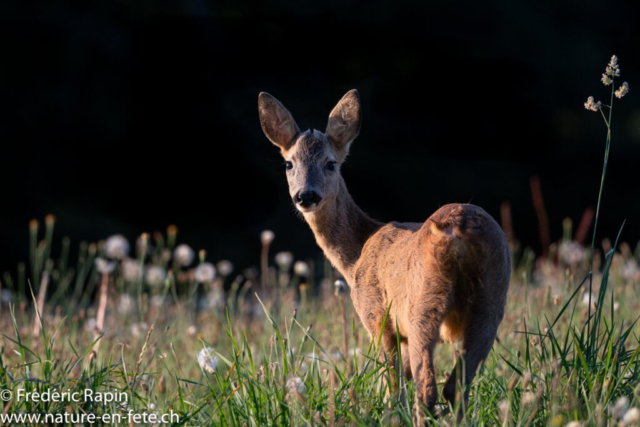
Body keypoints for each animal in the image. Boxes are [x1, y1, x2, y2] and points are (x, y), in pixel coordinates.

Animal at [258, 88, 512, 422]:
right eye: (289, 164)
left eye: (331, 163)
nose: (306, 196)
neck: (356, 253)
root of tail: (459, 231)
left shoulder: (377, 317)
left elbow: (392, 387)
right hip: (491, 302)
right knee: (456, 388)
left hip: (421, 303)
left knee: (427, 390)